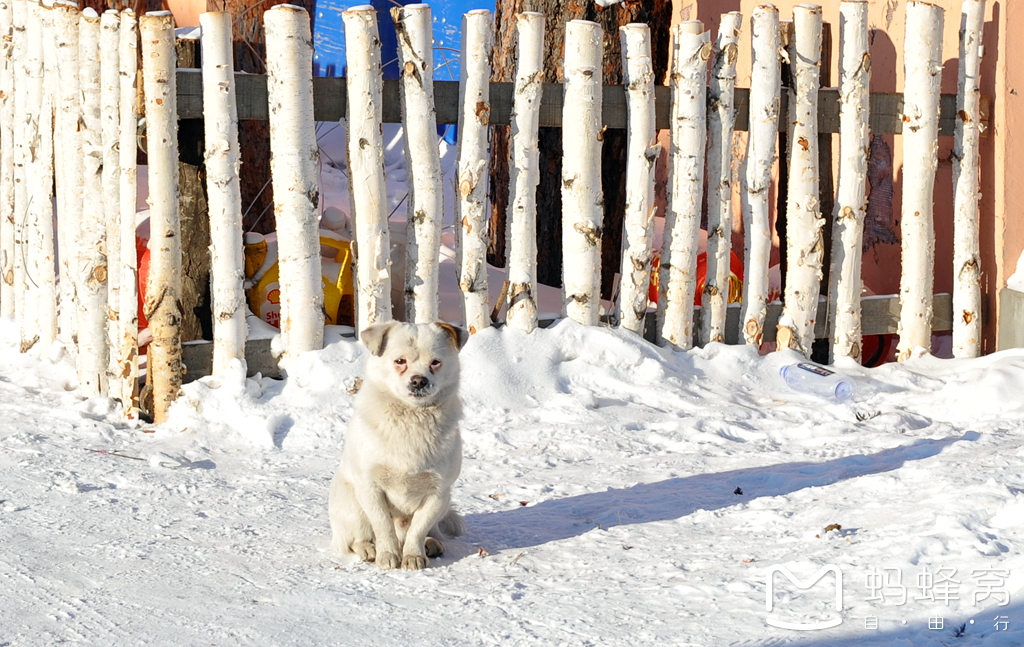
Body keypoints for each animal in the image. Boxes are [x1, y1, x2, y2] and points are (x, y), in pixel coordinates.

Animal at [331, 321, 468, 569]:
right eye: (400, 361)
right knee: (354, 539)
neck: (411, 419)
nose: (419, 380)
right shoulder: (370, 487)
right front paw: (388, 555)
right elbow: (383, 525)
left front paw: (413, 555)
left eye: (435, 362)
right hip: (353, 507)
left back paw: (430, 544)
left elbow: (418, 529)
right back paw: (369, 548)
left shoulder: (438, 493)